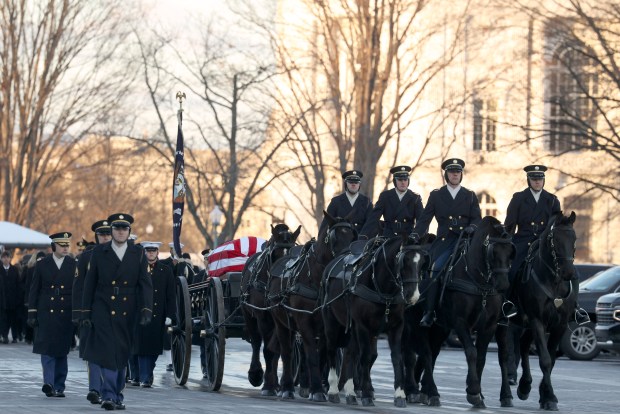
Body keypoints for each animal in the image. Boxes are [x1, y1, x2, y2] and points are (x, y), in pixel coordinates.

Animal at [240, 223, 300, 394]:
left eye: (293, 252)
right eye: (276, 253)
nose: (282, 277)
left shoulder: (283, 318)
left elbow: (279, 350)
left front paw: (278, 383)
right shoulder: (262, 317)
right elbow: (267, 349)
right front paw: (266, 382)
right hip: (248, 314)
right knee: (256, 342)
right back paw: (256, 373)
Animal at [268, 212, 358, 400]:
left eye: (352, 235)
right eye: (334, 237)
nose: (346, 259)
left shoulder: (325, 326)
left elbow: (322, 356)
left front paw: (315, 387)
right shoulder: (304, 321)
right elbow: (311, 356)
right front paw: (316, 389)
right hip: (280, 322)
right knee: (286, 352)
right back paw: (287, 387)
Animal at [322, 233, 424, 408]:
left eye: (422, 262)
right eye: (404, 261)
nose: (413, 296)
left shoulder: (396, 327)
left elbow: (396, 358)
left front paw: (399, 394)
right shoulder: (363, 326)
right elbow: (366, 357)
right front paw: (366, 394)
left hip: (352, 329)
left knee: (350, 354)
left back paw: (350, 392)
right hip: (332, 323)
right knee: (332, 351)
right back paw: (334, 390)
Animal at [406, 217, 512, 408]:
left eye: (510, 252)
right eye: (493, 252)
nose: (503, 285)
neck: (480, 283)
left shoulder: (489, 326)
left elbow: (481, 357)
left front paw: (477, 392)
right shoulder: (461, 322)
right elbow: (471, 352)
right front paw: (473, 391)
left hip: (440, 328)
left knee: (432, 353)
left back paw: (424, 390)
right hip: (417, 324)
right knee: (425, 353)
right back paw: (426, 391)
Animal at [496, 213, 580, 410]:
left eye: (574, 238)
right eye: (555, 239)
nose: (569, 273)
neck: (554, 282)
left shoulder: (559, 325)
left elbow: (551, 358)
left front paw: (545, 395)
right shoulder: (538, 321)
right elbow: (545, 360)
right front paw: (549, 397)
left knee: (524, 345)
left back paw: (525, 385)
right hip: (504, 322)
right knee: (504, 355)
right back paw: (506, 395)